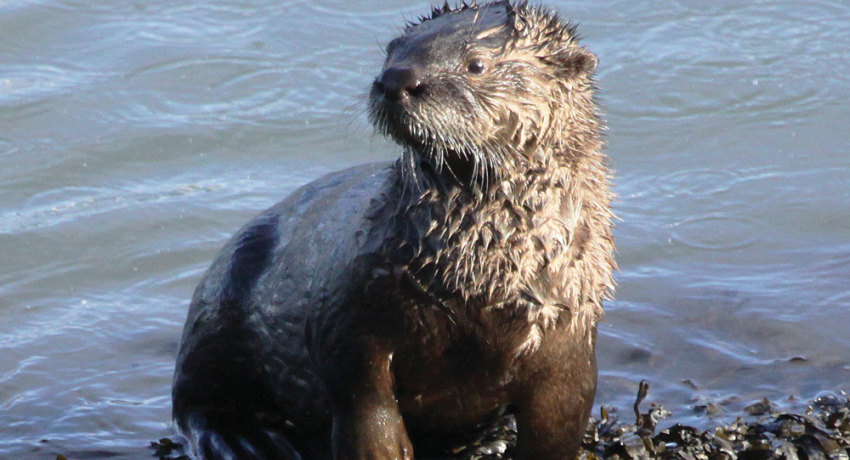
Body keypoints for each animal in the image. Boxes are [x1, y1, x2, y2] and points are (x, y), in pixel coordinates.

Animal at [172, 1, 612, 458]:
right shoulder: (351, 319)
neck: (477, 282)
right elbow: (367, 411)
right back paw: (246, 439)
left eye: (476, 64)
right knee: (195, 402)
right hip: (216, 307)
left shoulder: (570, 340)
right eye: (393, 51)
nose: (398, 79)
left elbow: (558, 424)